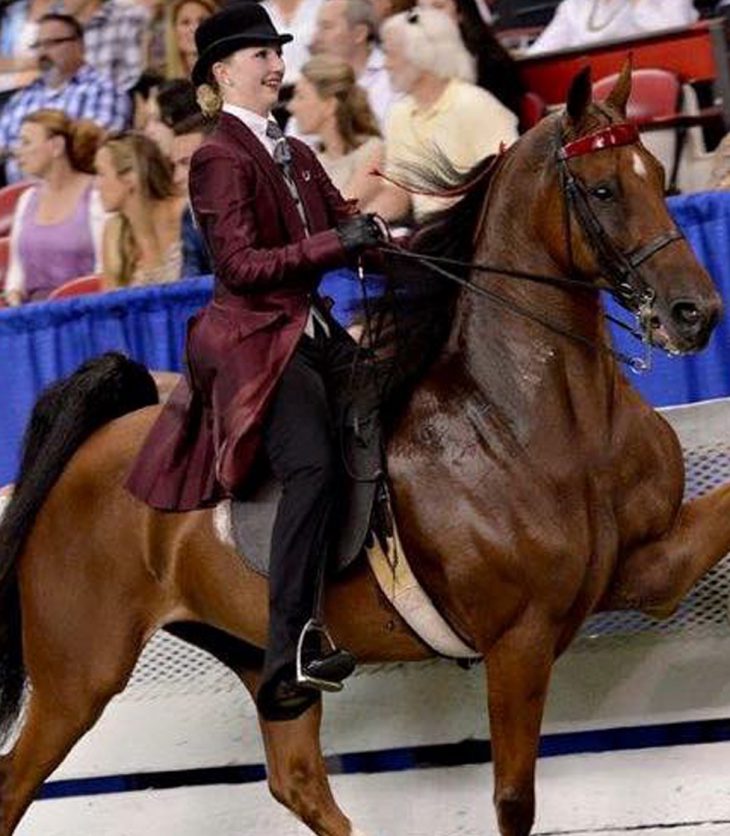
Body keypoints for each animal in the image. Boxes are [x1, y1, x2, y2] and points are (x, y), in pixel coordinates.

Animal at [0, 68, 724, 836]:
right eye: (603, 189)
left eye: (657, 175)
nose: (695, 314)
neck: (537, 413)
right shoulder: (519, 638)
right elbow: (513, 801)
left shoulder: (646, 566)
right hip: (79, 674)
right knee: (15, 781)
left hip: (260, 660)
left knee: (297, 781)